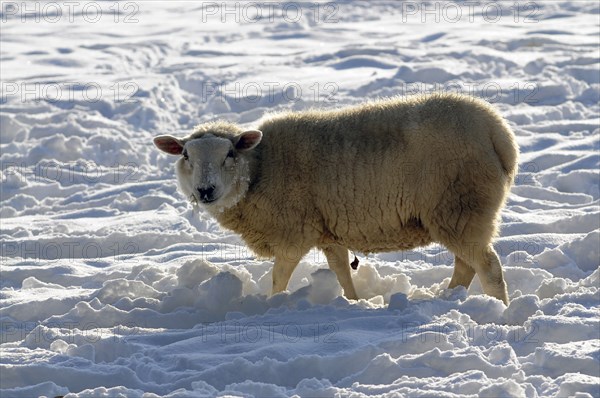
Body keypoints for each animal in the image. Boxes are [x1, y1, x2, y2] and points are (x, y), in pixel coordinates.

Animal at [156, 93, 520, 304]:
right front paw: (353, 301)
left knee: (487, 267)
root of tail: (498, 132)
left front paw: (273, 304)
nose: (205, 191)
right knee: (466, 265)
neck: (259, 169)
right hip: (461, 212)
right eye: (186, 155)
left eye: (229, 154)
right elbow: (341, 270)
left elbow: (279, 277)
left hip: (460, 206)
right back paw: (449, 297)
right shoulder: (328, 229)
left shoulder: (294, 232)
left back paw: (500, 310)